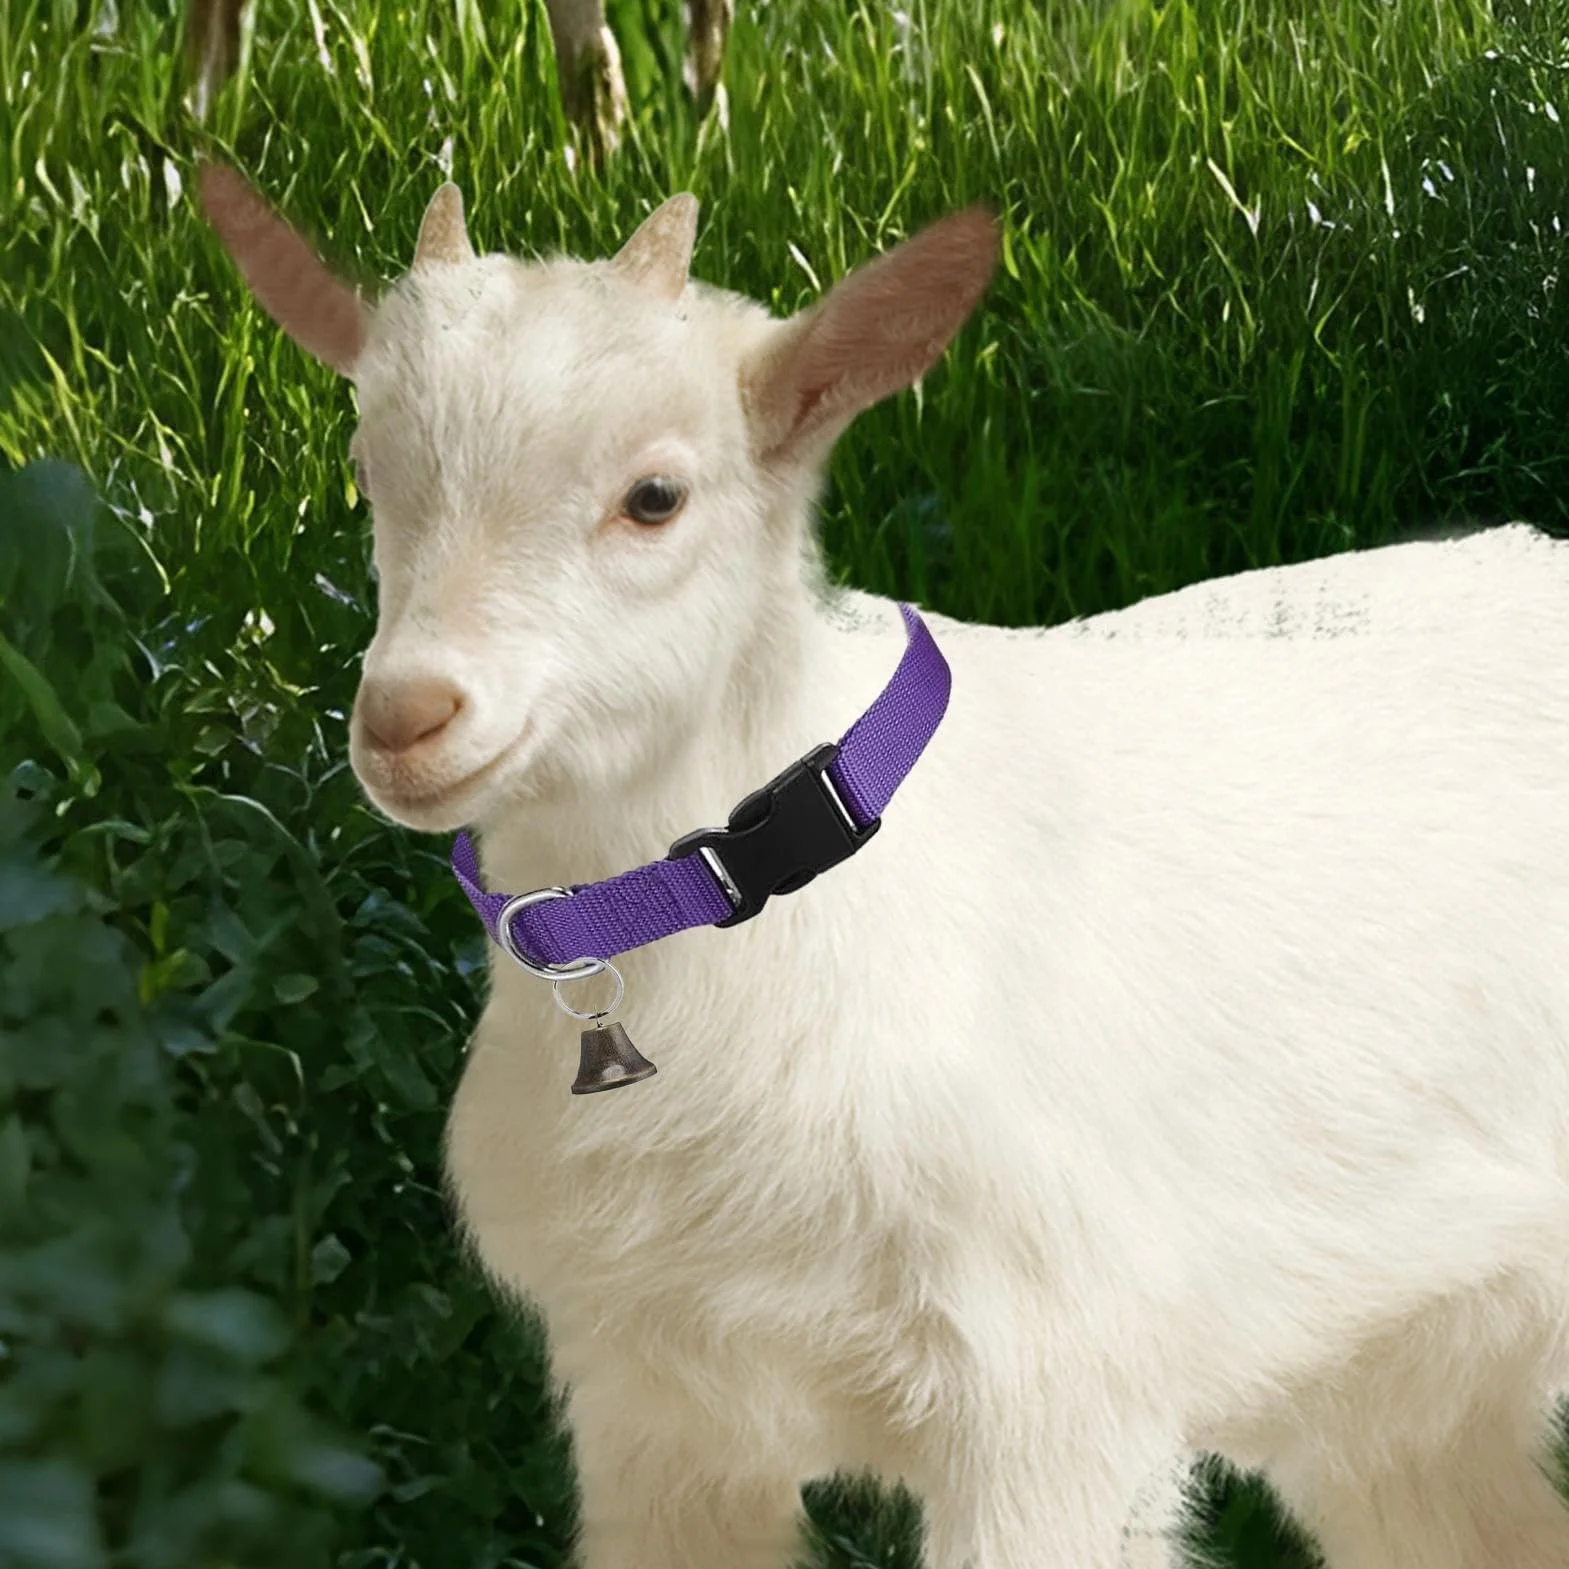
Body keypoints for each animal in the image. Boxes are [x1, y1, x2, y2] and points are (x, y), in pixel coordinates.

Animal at [197, 158, 1569, 1569]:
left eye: (656, 496)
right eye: (367, 468)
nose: (407, 718)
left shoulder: (1048, 1396)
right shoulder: (654, 1408)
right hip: (1403, 1380)